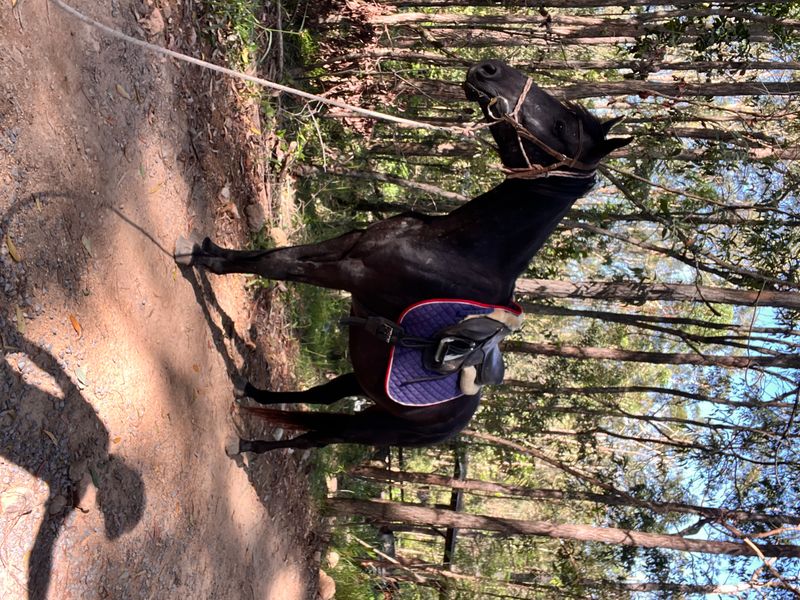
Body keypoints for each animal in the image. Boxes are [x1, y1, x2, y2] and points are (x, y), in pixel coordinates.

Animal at [175, 59, 631, 454]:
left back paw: (249, 445)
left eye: (561, 127)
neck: (453, 247)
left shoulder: (350, 272)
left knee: (313, 438)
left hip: (369, 427)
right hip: (364, 379)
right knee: (321, 396)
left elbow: (278, 266)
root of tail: (456, 424)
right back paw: (250, 391)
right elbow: (277, 253)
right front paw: (209, 249)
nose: (489, 69)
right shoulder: (348, 244)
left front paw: (204, 262)